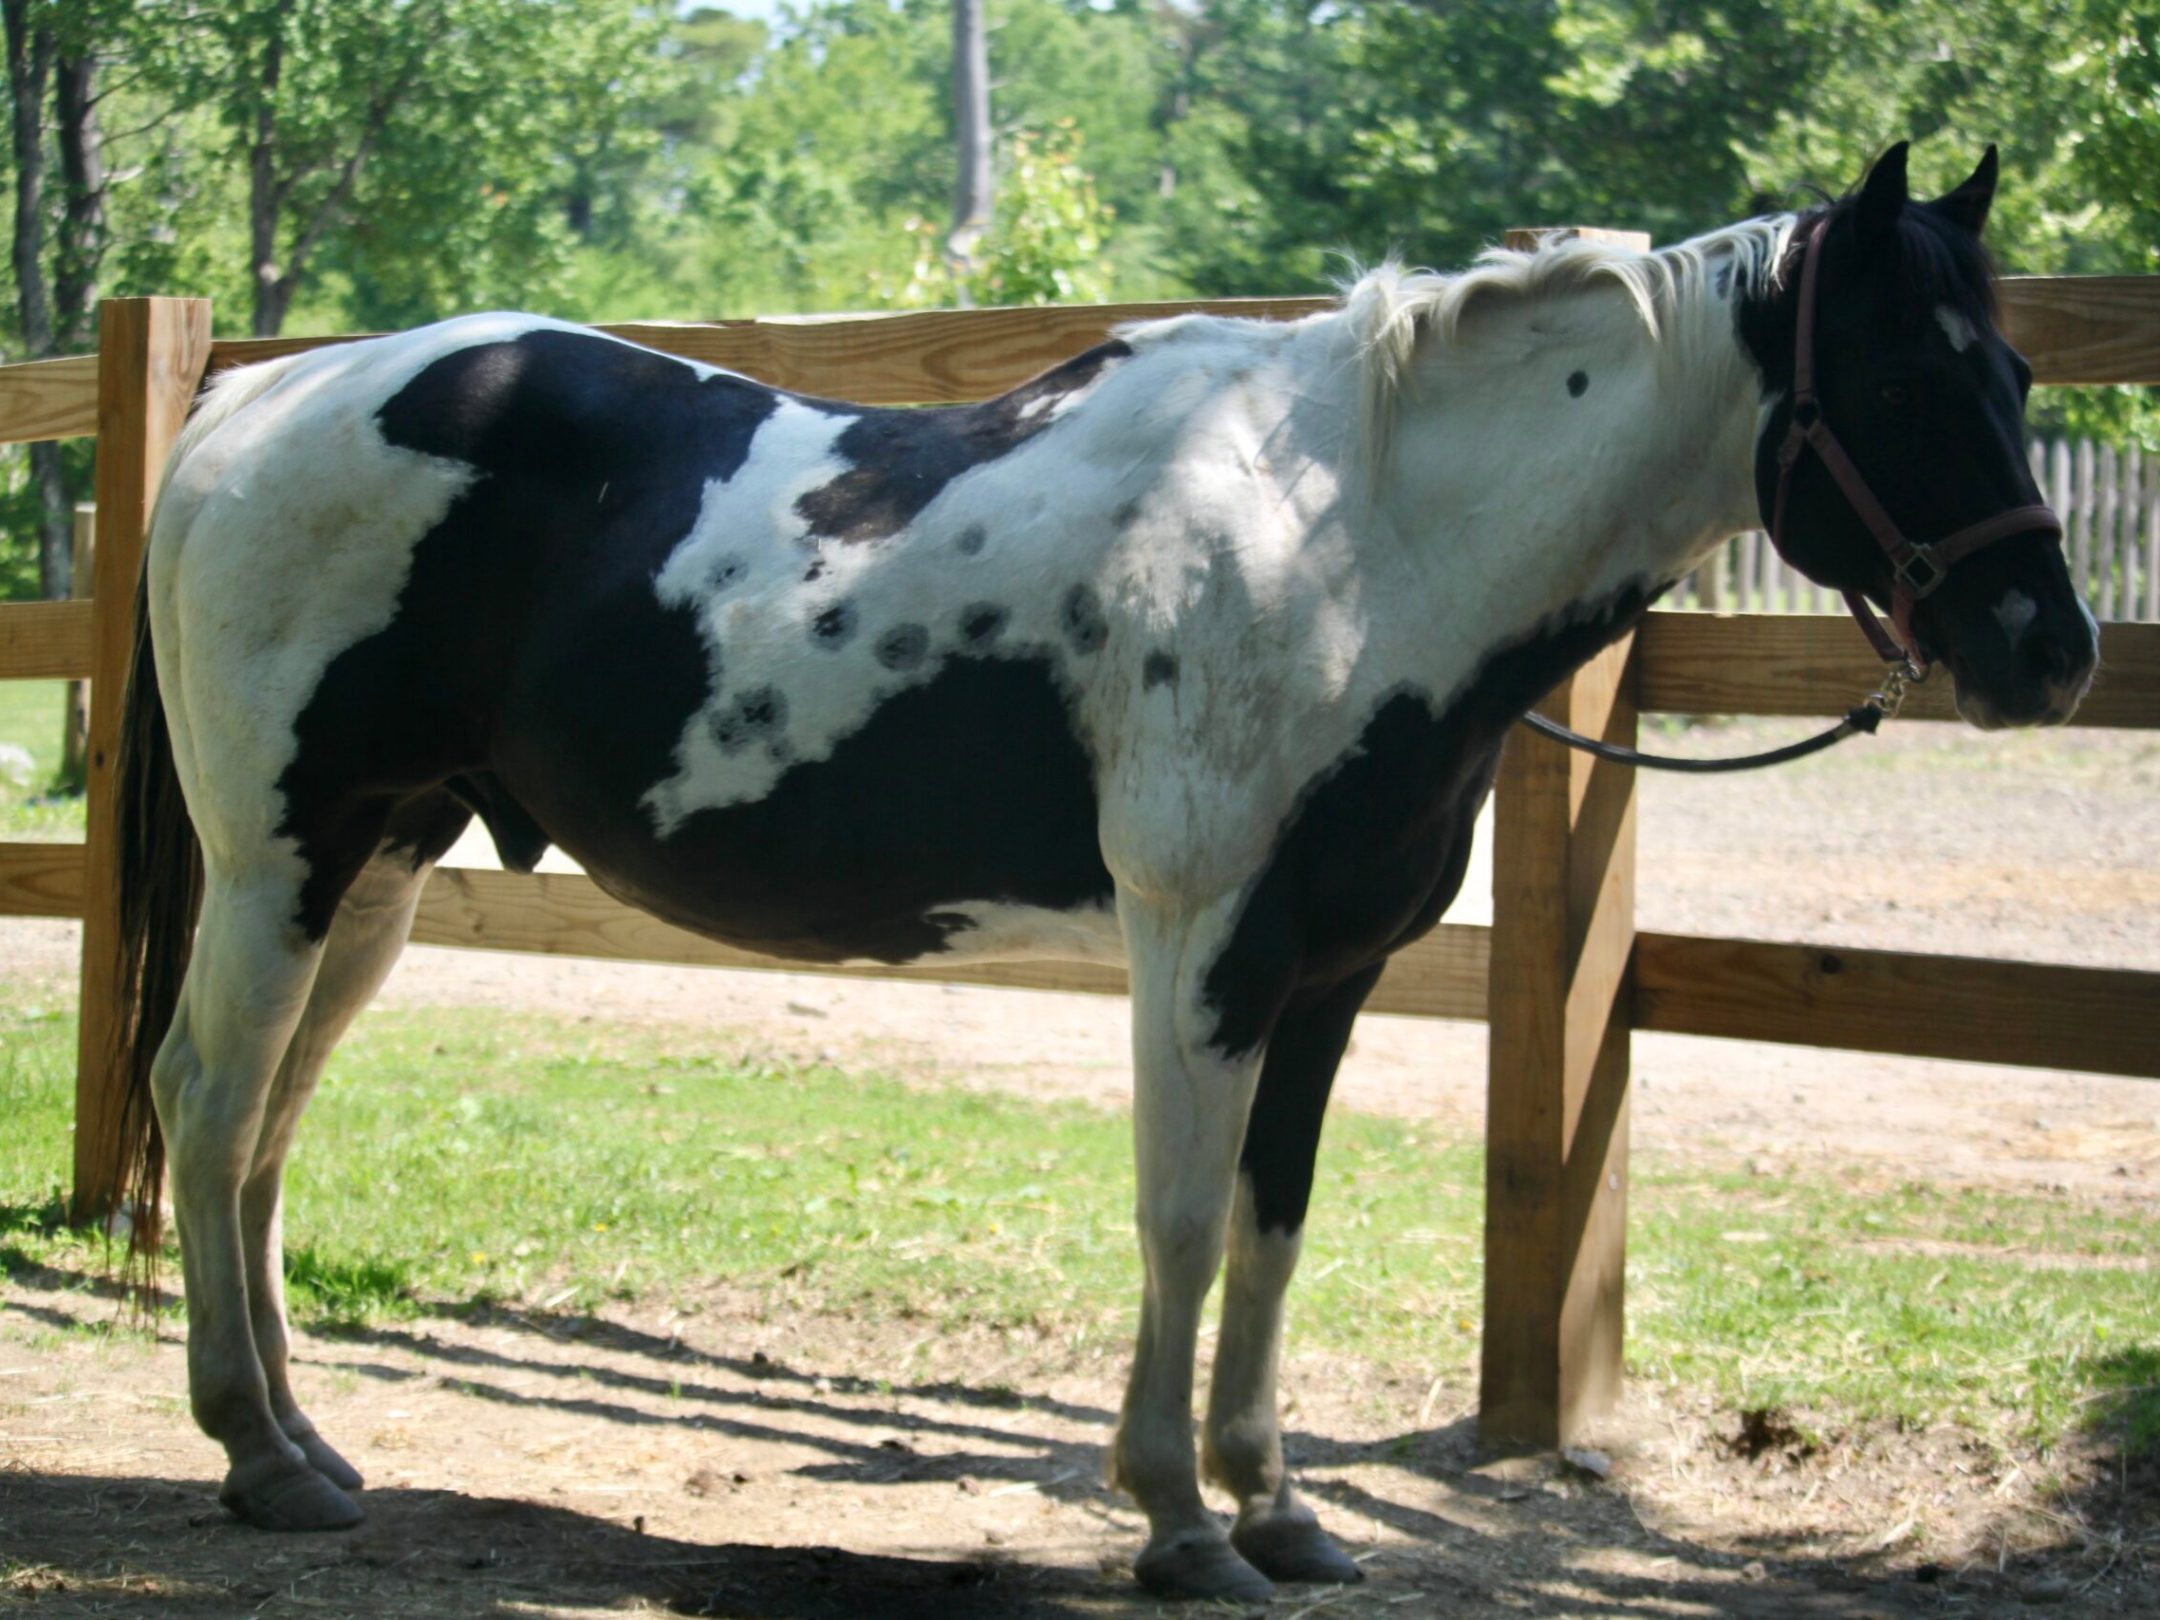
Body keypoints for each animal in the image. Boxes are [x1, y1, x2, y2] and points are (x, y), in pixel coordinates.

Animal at [107, 142, 2093, 1601]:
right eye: (1906, 374)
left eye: (2012, 370)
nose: (2050, 651)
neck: (1355, 534)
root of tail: (245, 414)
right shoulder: (1202, 948)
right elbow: (1185, 1219)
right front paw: (1181, 1526)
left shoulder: (1330, 974)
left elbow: (1277, 1227)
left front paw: (1279, 1510)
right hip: (279, 860)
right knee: (206, 1098)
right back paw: (256, 1456)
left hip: (374, 866)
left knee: (265, 1126)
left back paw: (309, 1442)